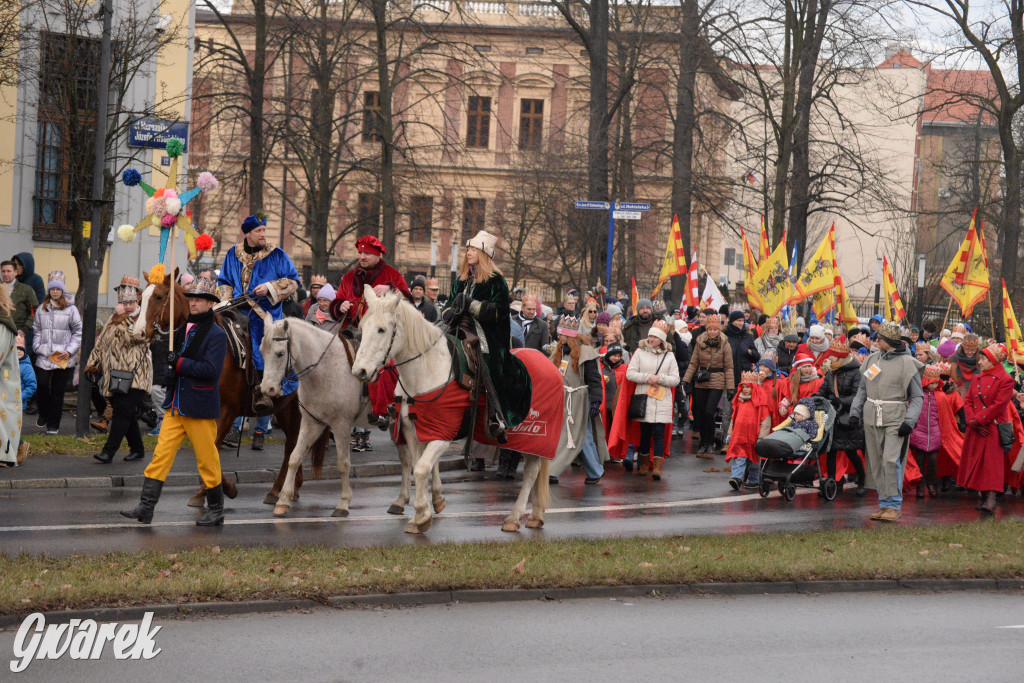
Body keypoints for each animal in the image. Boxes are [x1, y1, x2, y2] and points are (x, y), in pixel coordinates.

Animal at [132, 270, 323, 505]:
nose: (138, 333)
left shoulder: (227, 411)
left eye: (159, 297)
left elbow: (212, 448)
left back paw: (276, 489)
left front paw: (220, 489)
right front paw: (208, 491)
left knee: (291, 445)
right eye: (141, 298)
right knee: (295, 442)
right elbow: (205, 451)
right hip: (285, 408)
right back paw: (293, 487)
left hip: (294, 409)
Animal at [260, 321, 444, 518]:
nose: (267, 389)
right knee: (407, 460)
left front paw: (343, 504)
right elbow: (294, 457)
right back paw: (401, 501)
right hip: (396, 425)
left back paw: (437, 498)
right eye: (261, 351)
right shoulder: (312, 423)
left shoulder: (341, 425)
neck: (325, 367)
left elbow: (343, 464)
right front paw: (283, 500)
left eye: (280, 353)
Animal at [350, 282, 552, 532]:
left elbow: (421, 468)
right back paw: (535, 515)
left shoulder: (443, 434)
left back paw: (515, 518)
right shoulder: (413, 431)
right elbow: (418, 466)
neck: (428, 371)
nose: (360, 371)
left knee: (532, 473)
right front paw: (424, 510)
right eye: (362, 328)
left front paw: (422, 515)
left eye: (381, 330)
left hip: (535, 440)